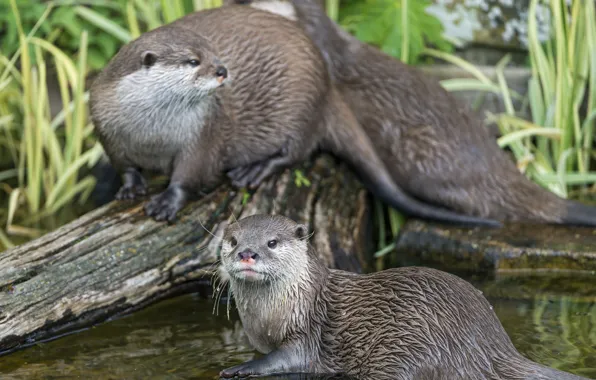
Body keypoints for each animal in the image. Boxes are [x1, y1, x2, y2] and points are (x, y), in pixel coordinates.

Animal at [88, 5, 498, 226]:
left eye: (214, 52)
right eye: (193, 61)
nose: (222, 70)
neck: (152, 133)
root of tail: (328, 86)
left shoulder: (202, 136)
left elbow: (191, 173)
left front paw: (167, 201)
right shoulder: (106, 127)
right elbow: (122, 163)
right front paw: (130, 187)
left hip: (302, 109)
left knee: (297, 152)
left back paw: (253, 170)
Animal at [218, 215, 588, 380]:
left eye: (272, 242)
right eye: (233, 240)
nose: (247, 253)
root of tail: (494, 345)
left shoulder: (306, 335)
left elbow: (284, 359)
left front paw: (238, 368)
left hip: (412, 350)